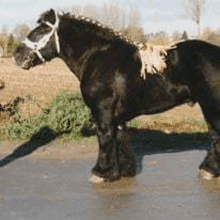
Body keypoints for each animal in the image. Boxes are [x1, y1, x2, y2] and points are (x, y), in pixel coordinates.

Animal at [13, 8, 220, 181]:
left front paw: (100, 172)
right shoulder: (116, 116)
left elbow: (104, 138)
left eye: (42, 29)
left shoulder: (102, 111)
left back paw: (208, 170)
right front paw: (122, 171)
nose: (17, 55)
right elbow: (119, 139)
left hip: (211, 106)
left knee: (216, 135)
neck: (97, 56)